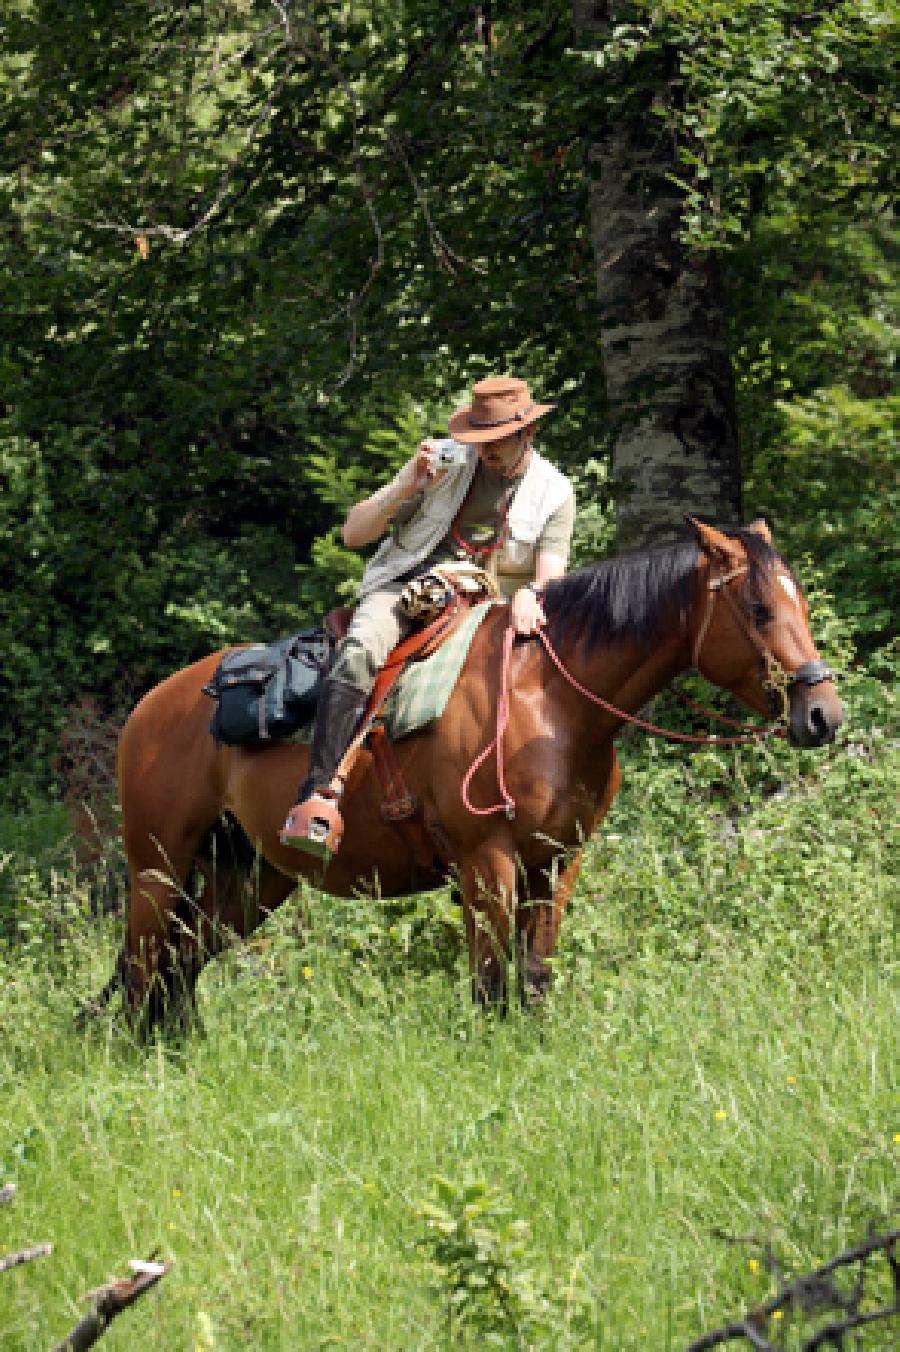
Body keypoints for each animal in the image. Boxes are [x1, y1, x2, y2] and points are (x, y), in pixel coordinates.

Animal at [87, 516, 837, 1022]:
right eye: (760, 608)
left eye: (799, 603)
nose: (823, 712)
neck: (551, 701)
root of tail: (152, 707)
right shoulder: (487, 861)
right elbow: (488, 985)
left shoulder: (556, 862)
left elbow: (533, 979)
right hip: (157, 870)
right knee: (143, 974)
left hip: (248, 878)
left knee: (177, 970)